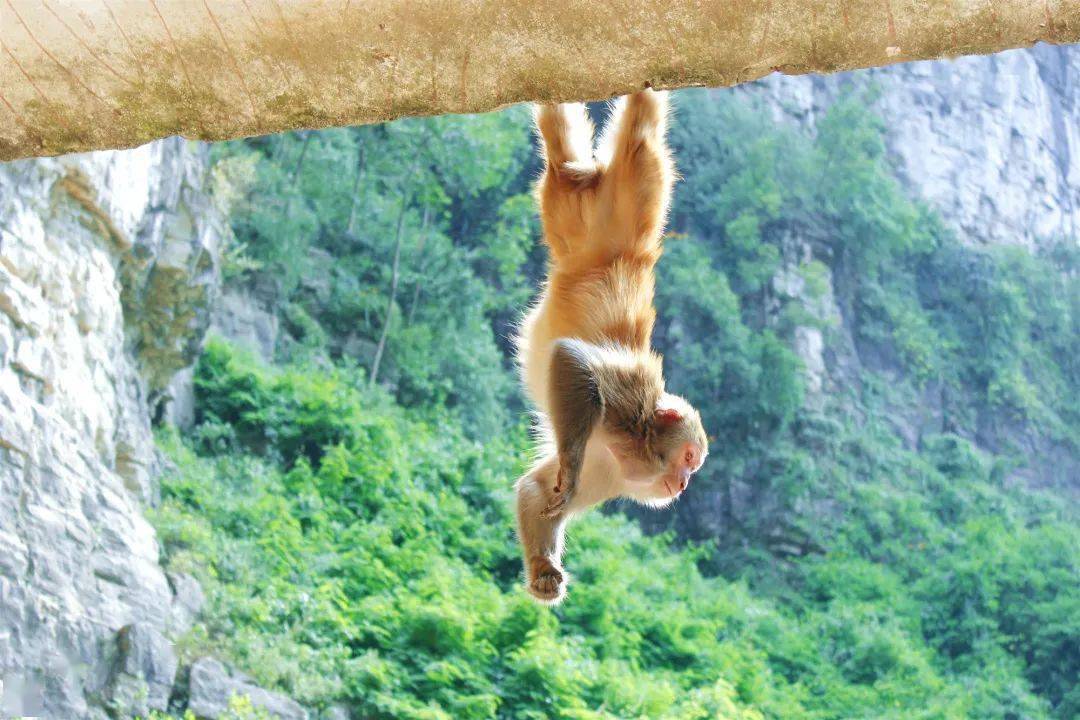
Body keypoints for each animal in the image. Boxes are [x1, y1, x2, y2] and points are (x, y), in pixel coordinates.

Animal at [513, 89, 708, 604]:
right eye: (688, 459)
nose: (684, 484)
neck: (633, 450)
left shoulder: (611, 473)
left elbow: (536, 492)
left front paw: (544, 573)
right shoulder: (628, 405)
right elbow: (572, 359)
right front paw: (570, 459)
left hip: (580, 212)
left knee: (569, 154)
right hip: (617, 209)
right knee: (642, 146)